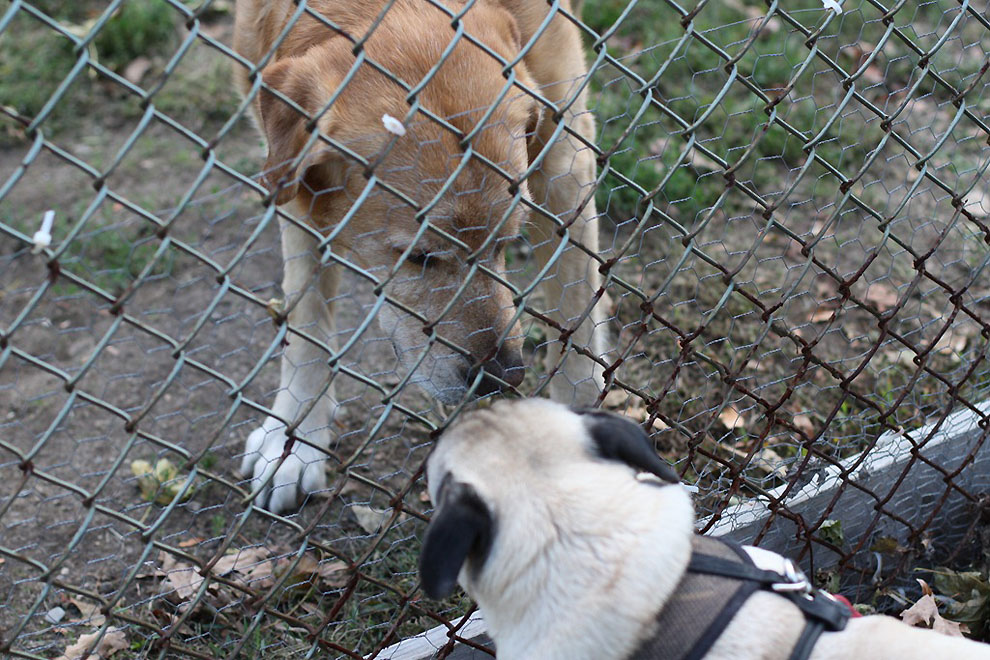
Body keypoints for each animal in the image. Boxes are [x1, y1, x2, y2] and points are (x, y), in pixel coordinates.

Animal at [232, 0, 608, 512]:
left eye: (505, 242)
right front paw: (295, 437)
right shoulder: (294, 186)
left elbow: (576, 319)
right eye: (419, 256)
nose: (503, 377)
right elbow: (305, 322)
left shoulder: (566, 153)